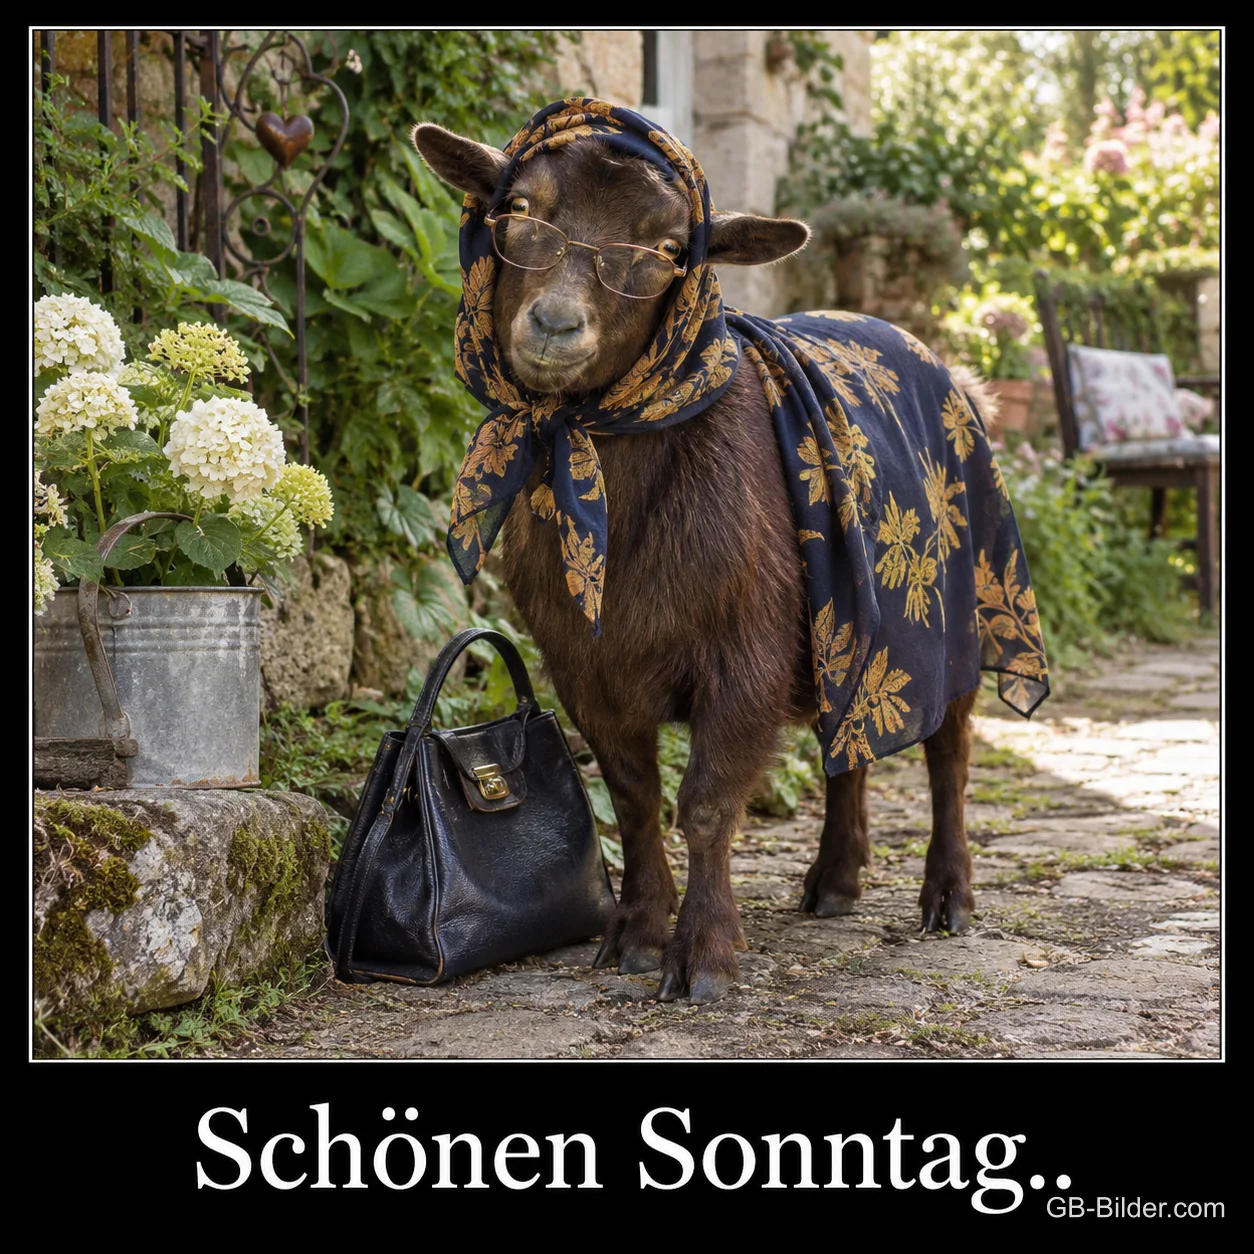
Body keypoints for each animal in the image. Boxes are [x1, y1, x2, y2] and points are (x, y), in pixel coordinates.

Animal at [412, 100, 1049, 1005]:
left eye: (669, 250)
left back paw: (948, 897)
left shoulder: (746, 652)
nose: (555, 325)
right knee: (847, 751)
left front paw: (704, 957)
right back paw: (834, 881)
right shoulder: (585, 665)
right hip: (848, 626)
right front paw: (636, 936)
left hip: (959, 620)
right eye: (522, 209)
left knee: (949, 759)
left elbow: (707, 802)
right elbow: (635, 799)